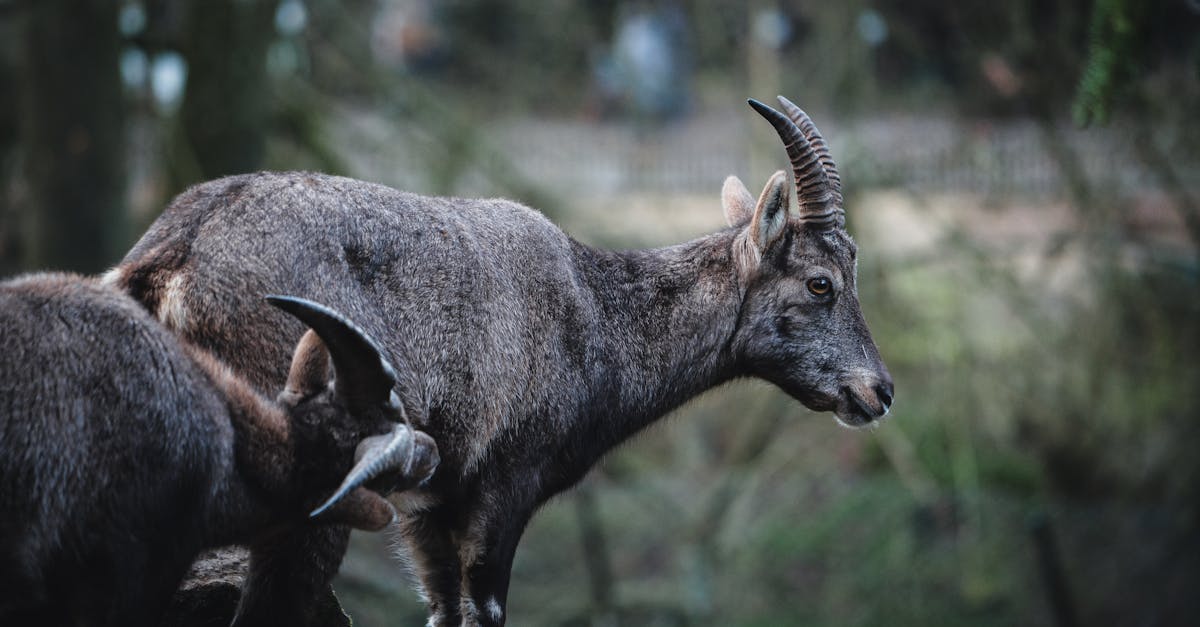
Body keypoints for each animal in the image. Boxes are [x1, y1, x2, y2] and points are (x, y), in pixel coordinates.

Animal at [105, 96, 894, 626]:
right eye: (821, 281)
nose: (879, 391)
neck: (597, 316)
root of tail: (172, 256)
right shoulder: (503, 489)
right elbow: (484, 610)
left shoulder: (430, 516)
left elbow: (443, 610)